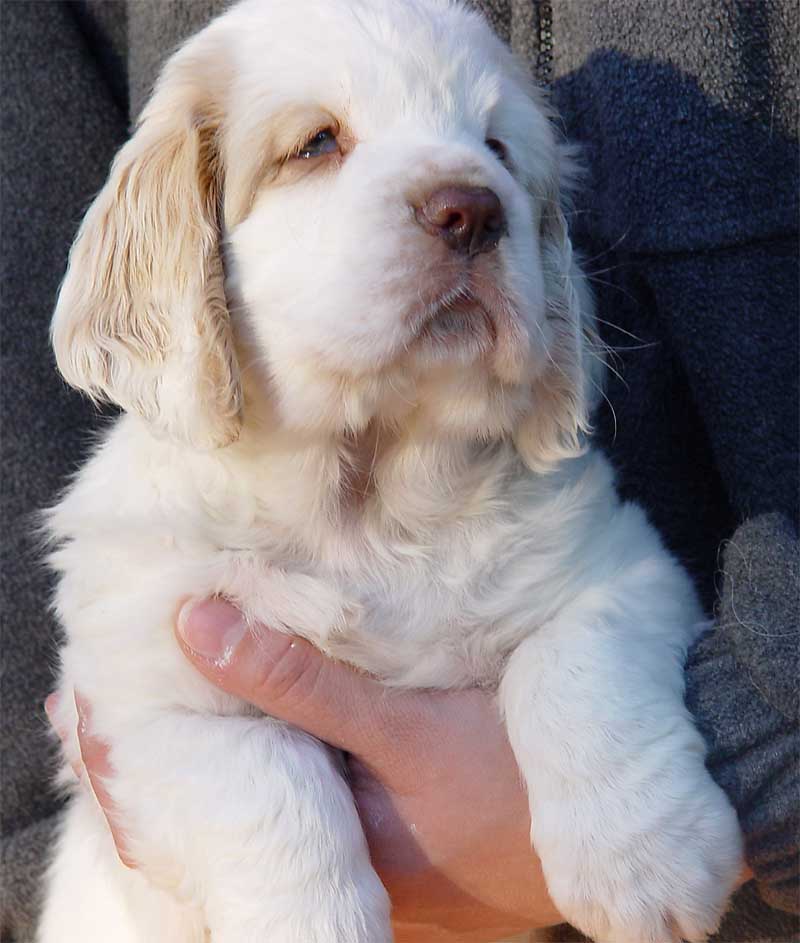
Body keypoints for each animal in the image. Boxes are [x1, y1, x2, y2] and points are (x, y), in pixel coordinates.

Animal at [38, 1, 743, 940]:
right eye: (316, 143)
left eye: (499, 150)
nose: (472, 210)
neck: (368, 499)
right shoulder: (152, 689)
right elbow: (271, 787)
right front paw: (317, 923)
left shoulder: (618, 566)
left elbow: (578, 667)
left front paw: (649, 864)